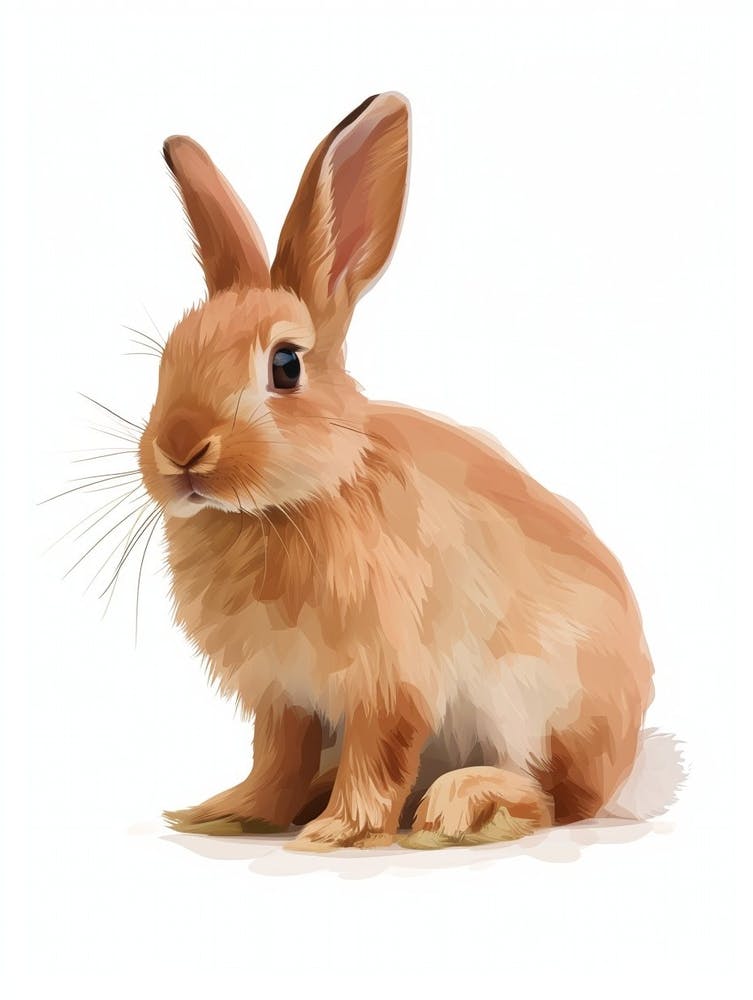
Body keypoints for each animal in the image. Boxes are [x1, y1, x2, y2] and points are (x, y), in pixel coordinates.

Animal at [139, 92, 654, 851]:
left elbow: (377, 757)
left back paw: (460, 807)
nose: (180, 451)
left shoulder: (390, 682)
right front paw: (224, 813)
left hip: (537, 708)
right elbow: (276, 761)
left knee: (556, 799)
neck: (294, 504)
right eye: (166, 358)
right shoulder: (283, 697)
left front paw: (336, 834)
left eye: (285, 365)